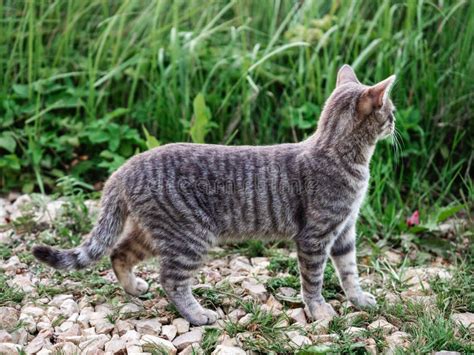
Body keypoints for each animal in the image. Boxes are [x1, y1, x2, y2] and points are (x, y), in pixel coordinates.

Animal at [34, 65, 396, 326]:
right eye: (390, 110)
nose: (395, 122)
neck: (339, 153)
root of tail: (124, 168)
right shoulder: (315, 236)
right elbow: (314, 281)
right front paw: (319, 312)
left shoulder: (345, 230)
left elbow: (349, 271)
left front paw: (359, 300)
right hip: (190, 235)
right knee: (171, 279)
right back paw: (197, 314)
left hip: (155, 233)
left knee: (119, 253)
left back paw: (134, 289)